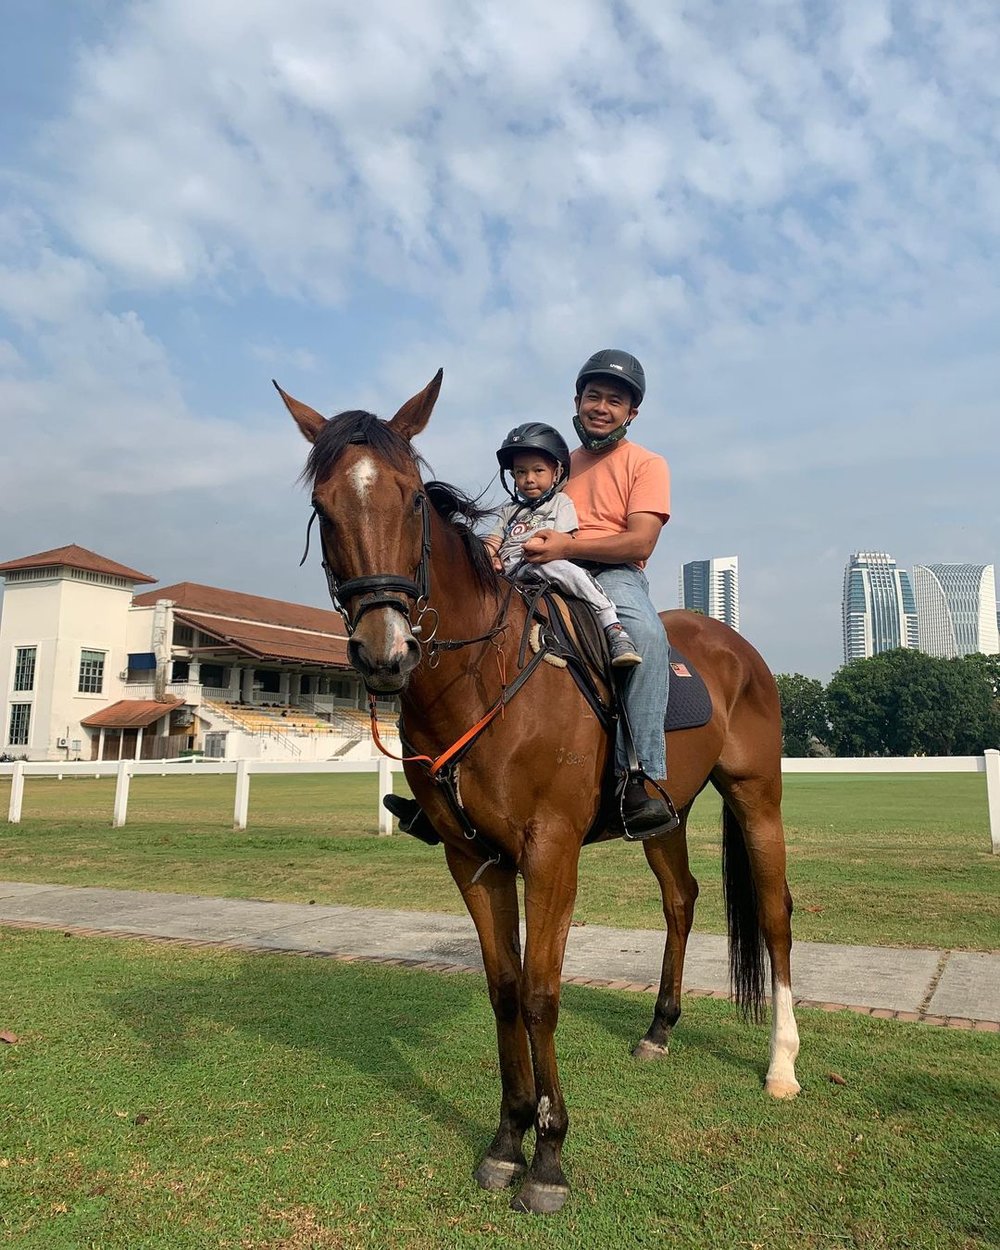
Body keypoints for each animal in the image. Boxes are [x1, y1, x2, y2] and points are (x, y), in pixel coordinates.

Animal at [277, 371, 800, 1215]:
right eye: (325, 506)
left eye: (412, 500)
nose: (386, 652)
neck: (482, 675)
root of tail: (733, 643)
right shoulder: (473, 859)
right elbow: (503, 988)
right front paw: (506, 1139)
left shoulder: (551, 851)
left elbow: (541, 994)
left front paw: (548, 1159)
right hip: (665, 815)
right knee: (681, 898)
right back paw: (660, 1028)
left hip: (758, 794)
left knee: (777, 914)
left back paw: (783, 1064)